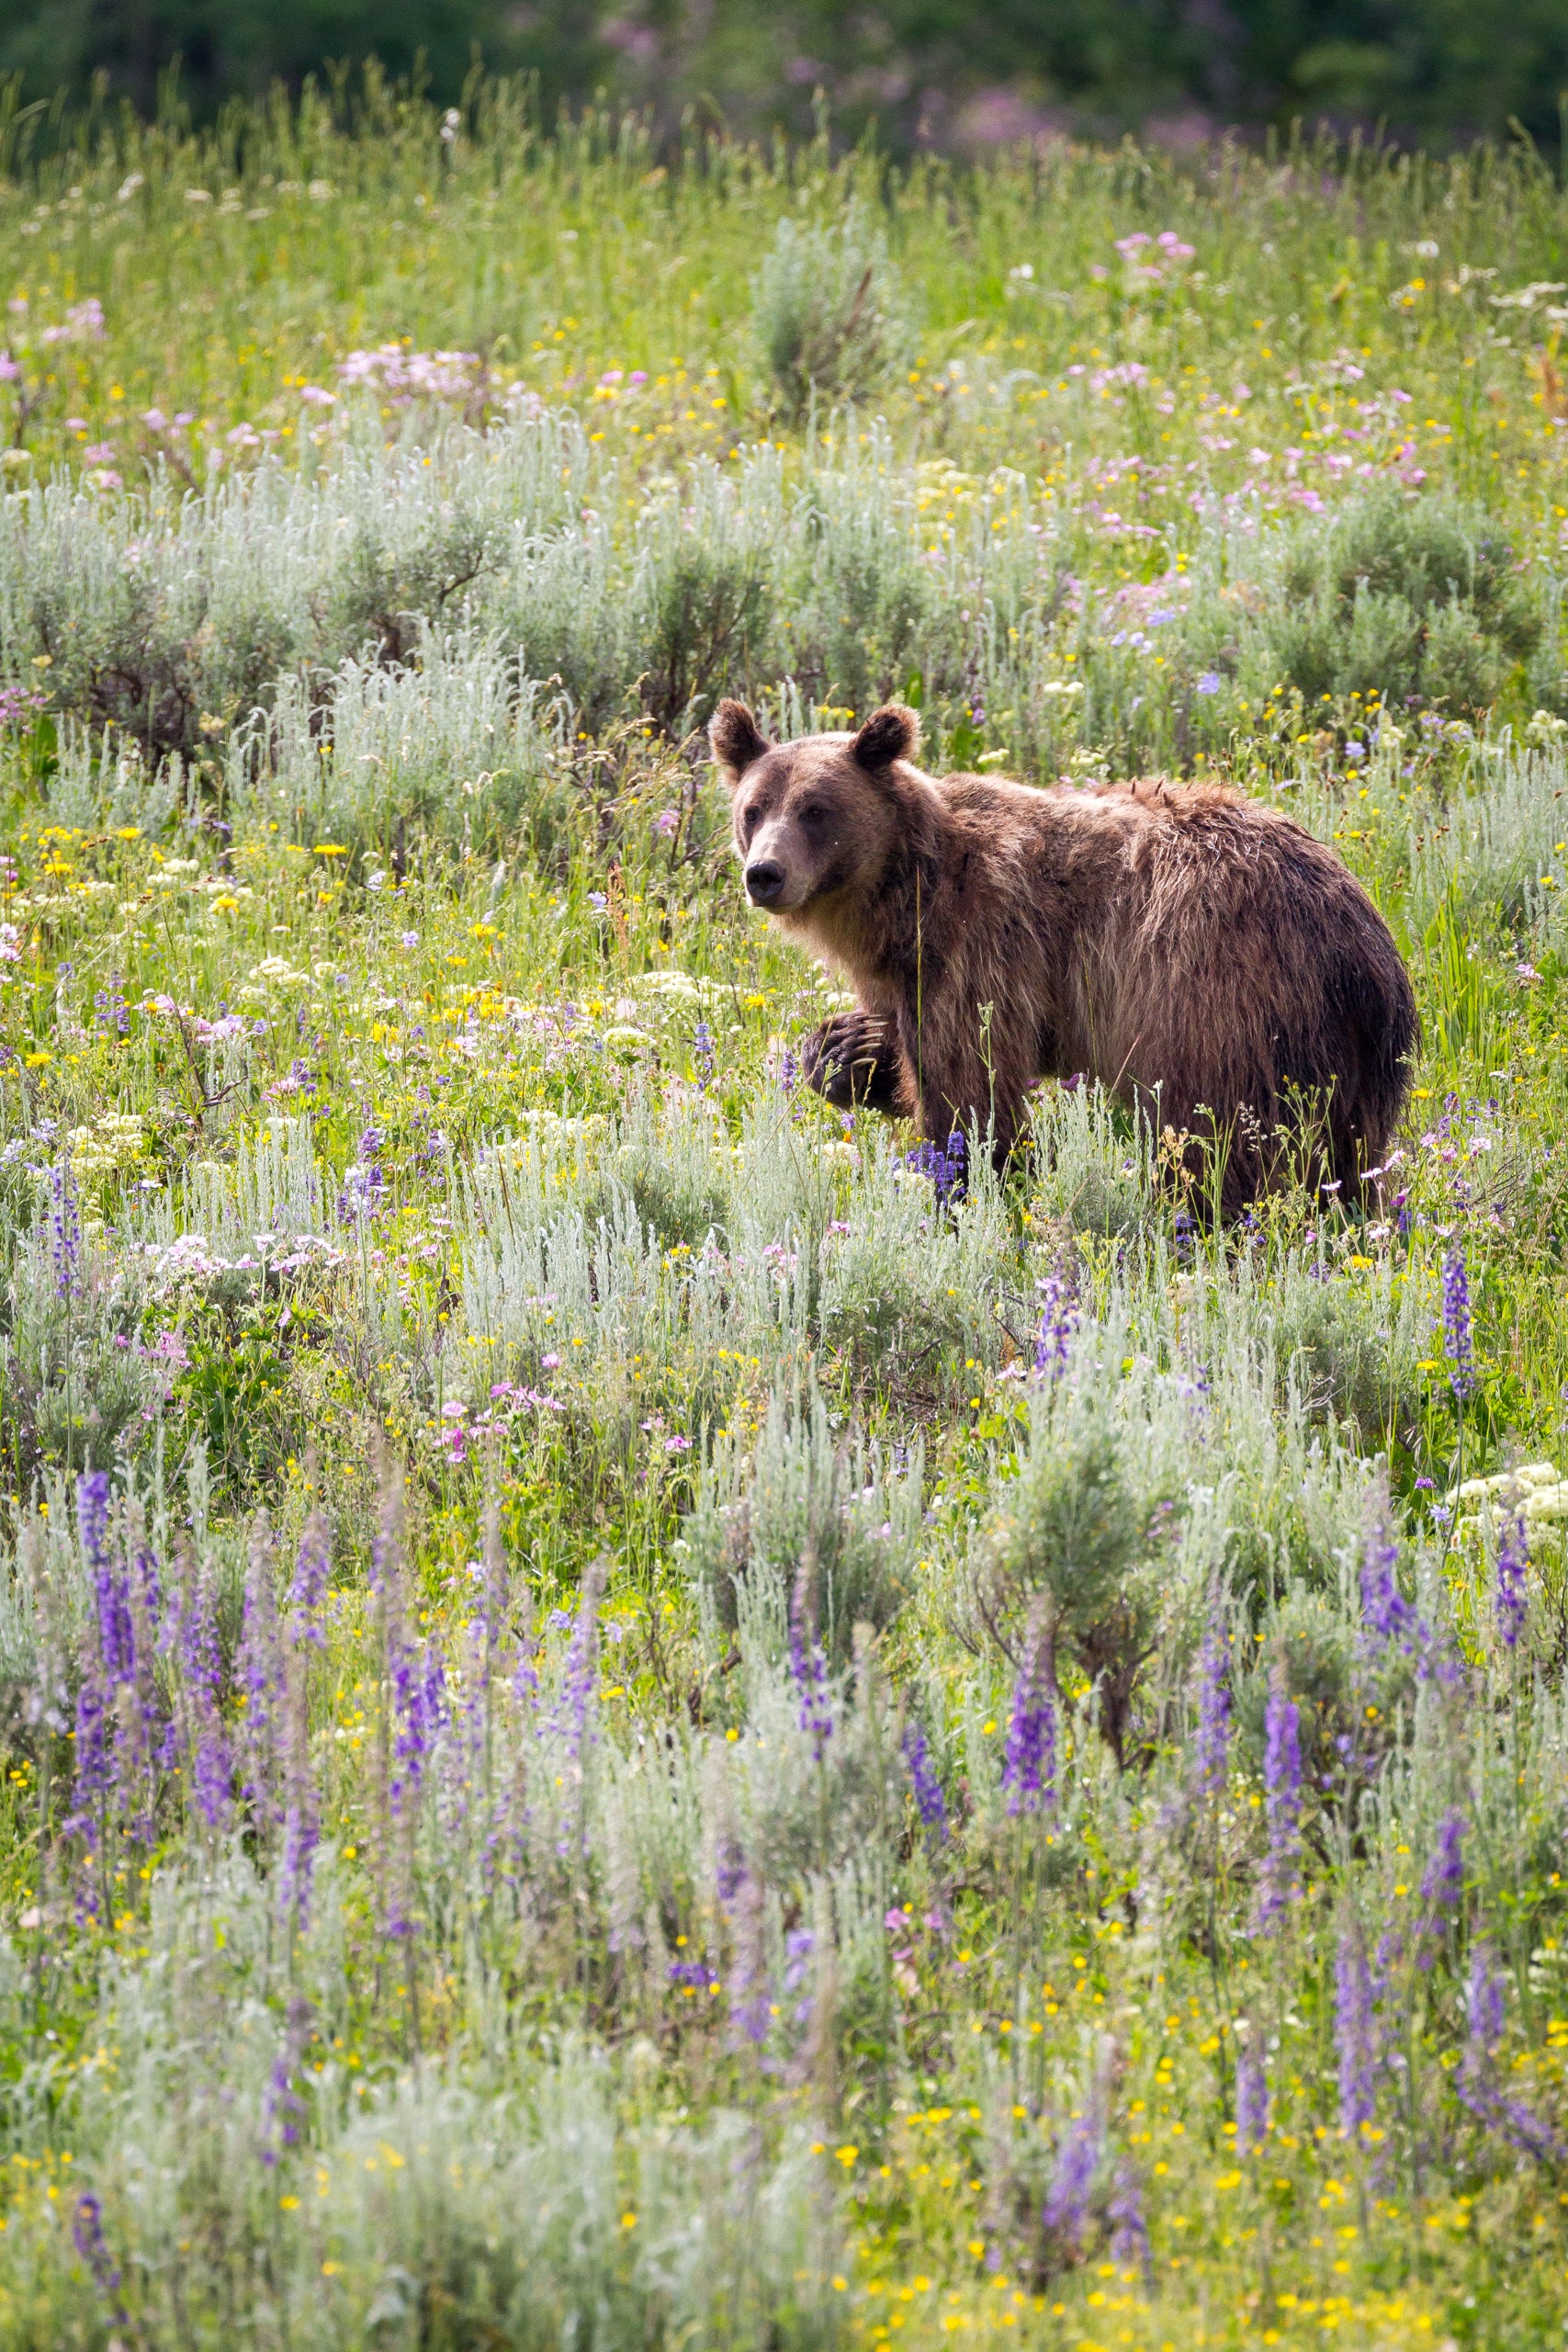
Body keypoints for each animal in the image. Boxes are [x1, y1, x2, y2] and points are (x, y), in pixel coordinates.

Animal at [709, 697, 1418, 1214]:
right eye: (753, 809)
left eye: (815, 809)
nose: (764, 874)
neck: (901, 895)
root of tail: (1366, 941)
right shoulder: (903, 972)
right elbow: (901, 1051)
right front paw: (839, 1050)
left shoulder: (980, 945)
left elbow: (970, 1093)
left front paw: (965, 1187)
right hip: (1340, 1052)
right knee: (1346, 1159)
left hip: (1218, 998)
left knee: (1218, 1140)